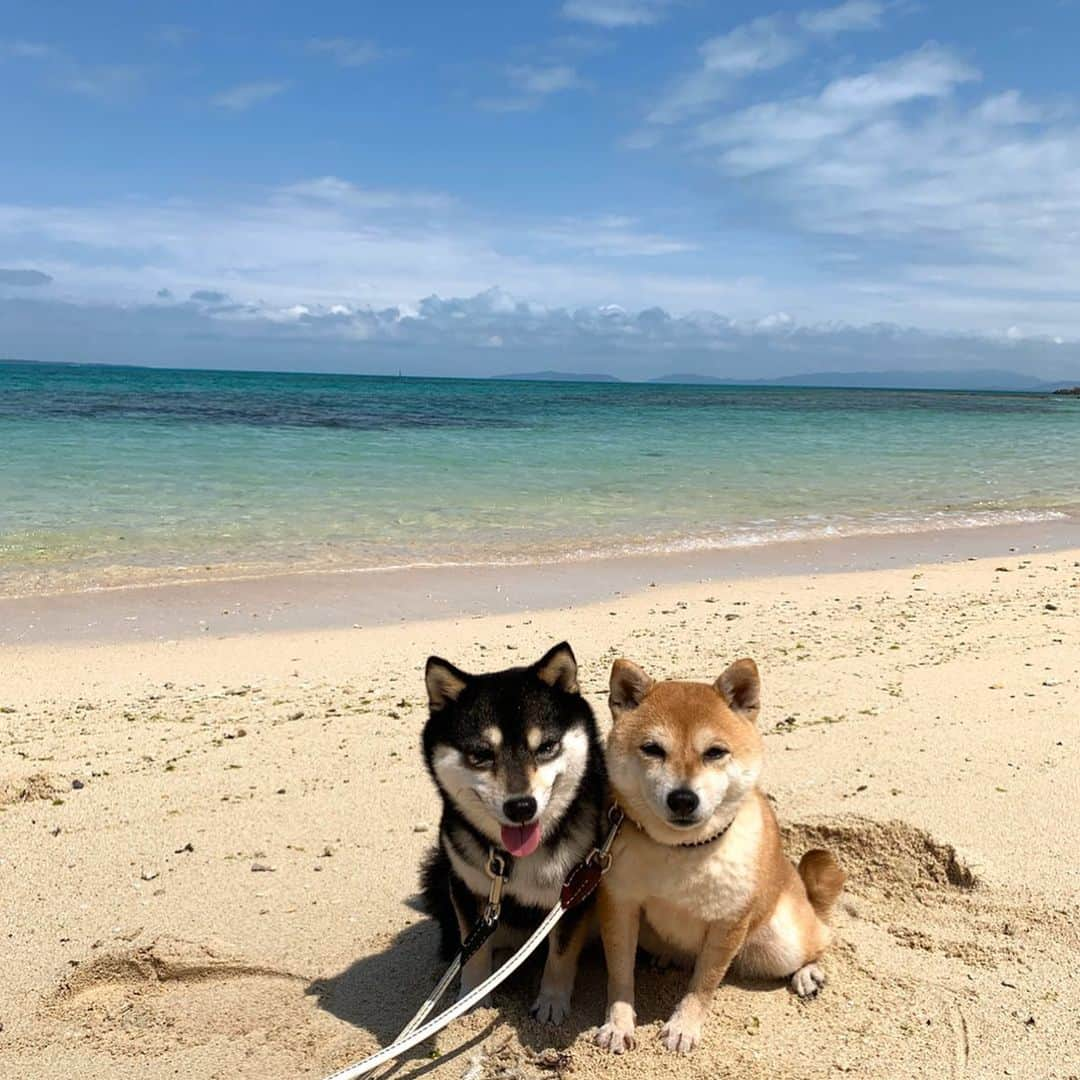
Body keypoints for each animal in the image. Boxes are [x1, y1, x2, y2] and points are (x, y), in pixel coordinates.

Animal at [419, 643, 609, 1023]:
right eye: (480, 754)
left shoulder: (574, 895)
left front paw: (551, 1001)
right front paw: (472, 995)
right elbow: (473, 950)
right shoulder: (468, 889)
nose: (521, 807)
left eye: (546, 747)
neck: (514, 859)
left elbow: (561, 955)